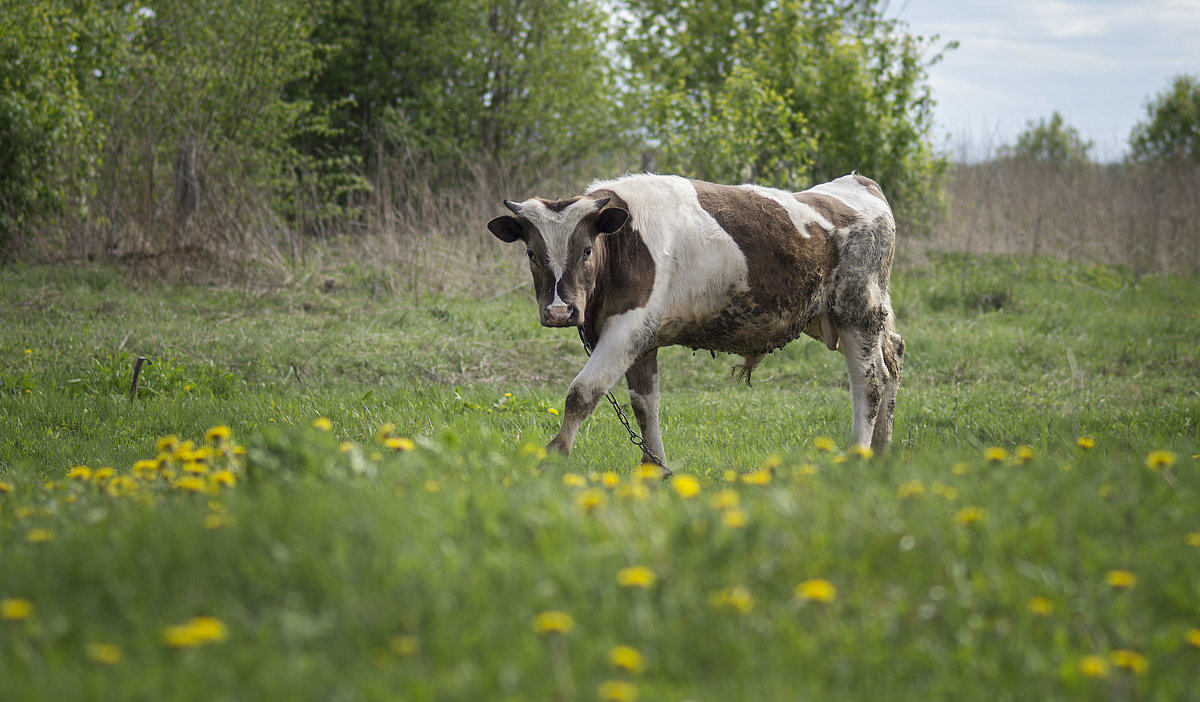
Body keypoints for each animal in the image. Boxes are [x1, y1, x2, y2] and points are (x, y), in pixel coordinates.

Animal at [484, 171, 902, 465]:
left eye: (586, 250)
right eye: (531, 254)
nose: (559, 311)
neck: (624, 244)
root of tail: (857, 182)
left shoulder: (628, 328)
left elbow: (582, 393)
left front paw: (554, 458)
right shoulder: (640, 341)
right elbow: (643, 405)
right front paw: (654, 468)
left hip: (858, 311)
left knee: (870, 384)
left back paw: (858, 455)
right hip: (830, 317)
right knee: (891, 361)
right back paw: (882, 450)